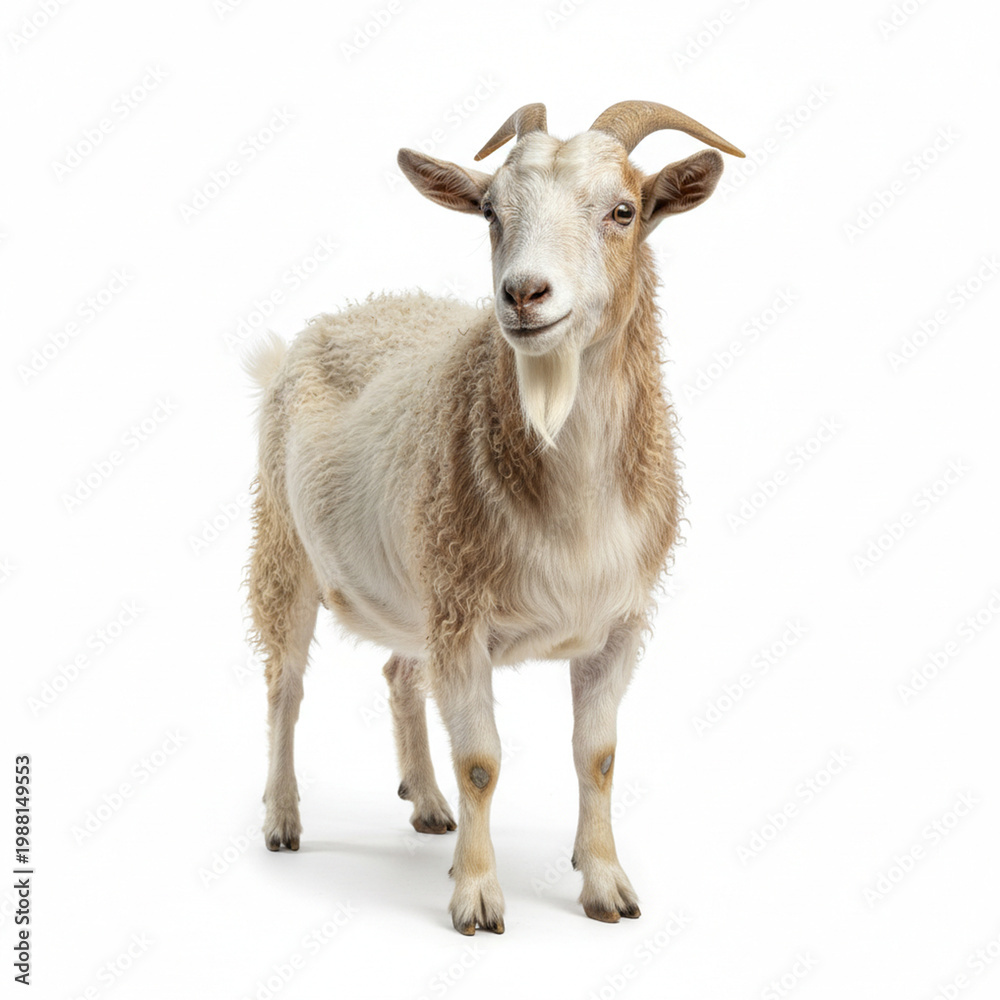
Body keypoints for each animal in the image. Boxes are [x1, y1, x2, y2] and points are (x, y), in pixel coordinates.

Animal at [246, 101, 743, 934]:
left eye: (624, 211)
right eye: (489, 212)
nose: (523, 293)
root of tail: (339, 317)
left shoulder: (618, 622)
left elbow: (597, 756)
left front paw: (604, 882)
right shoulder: (463, 616)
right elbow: (481, 762)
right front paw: (477, 897)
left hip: (414, 577)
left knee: (397, 672)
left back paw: (427, 804)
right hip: (286, 548)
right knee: (286, 684)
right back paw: (283, 818)